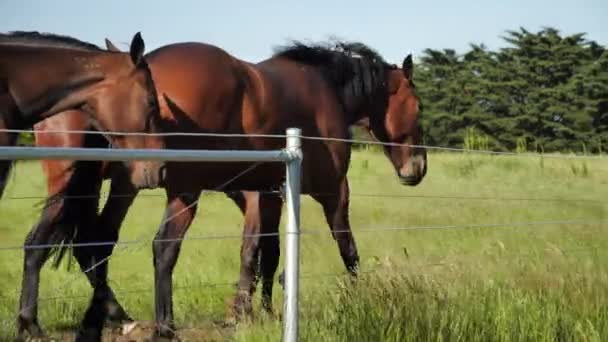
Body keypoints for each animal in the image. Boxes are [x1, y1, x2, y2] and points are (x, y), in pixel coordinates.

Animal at [22, 40, 422, 340]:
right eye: (416, 107)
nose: (416, 169)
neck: (325, 91)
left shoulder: (268, 193)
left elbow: (263, 252)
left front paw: (256, 310)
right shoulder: (334, 190)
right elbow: (346, 247)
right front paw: (357, 297)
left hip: (127, 185)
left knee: (98, 242)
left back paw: (108, 319)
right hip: (181, 192)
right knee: (161, 248)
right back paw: (162, 326)